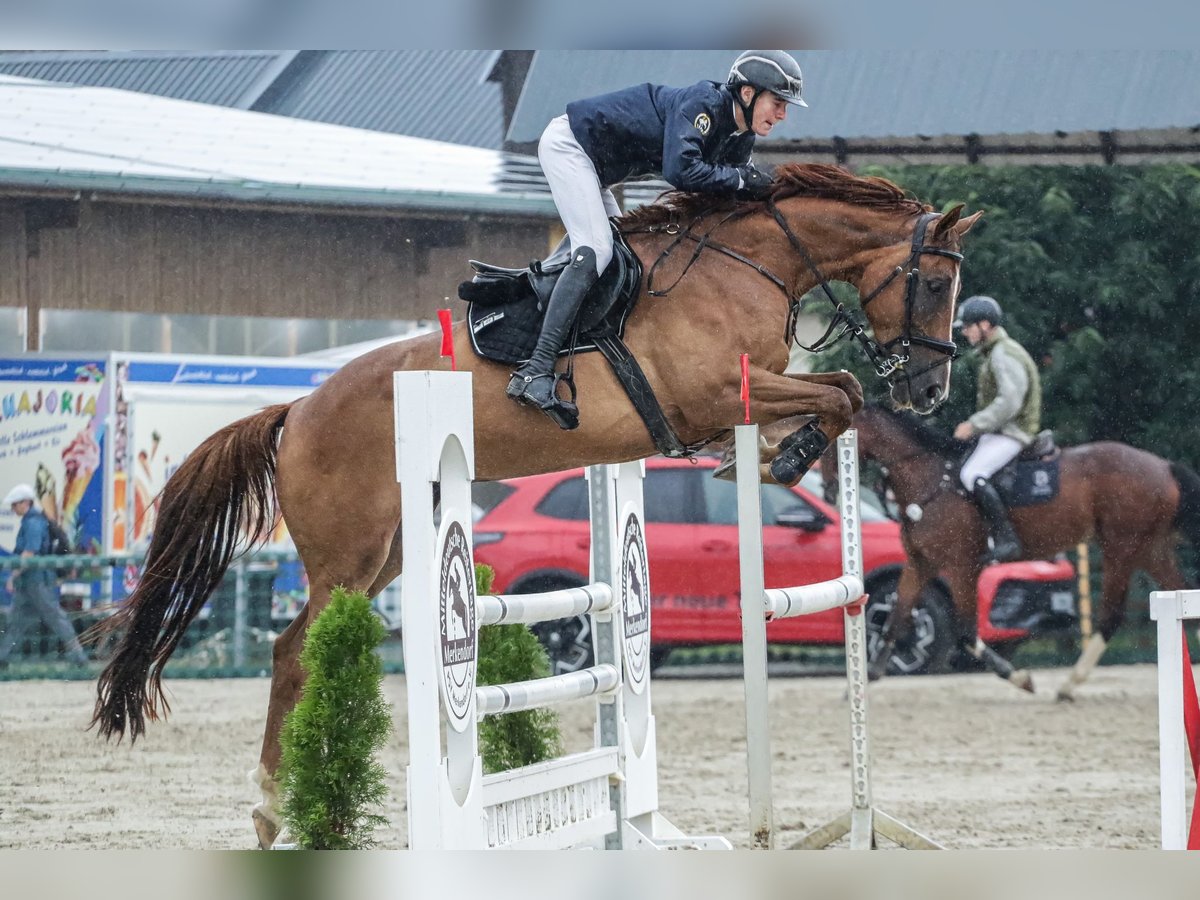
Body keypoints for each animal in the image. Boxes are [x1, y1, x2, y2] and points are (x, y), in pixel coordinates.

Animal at [88, 164, 979, 854]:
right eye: (936, 283)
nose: (931, 390)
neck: (745, 263)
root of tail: (297, 409)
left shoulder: (746, 390)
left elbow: (845, 391)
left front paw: (772, 455)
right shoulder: (720, 394)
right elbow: (838, 392)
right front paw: (775, 456)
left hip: (393, 551)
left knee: (300, 649)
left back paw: (292, 812)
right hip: (350, 553)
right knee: (295, 653)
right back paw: (283, 812)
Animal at [844, 405, 1200, 700]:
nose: (835, 482)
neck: (930, 482)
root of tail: (1163, 466)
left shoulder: (961, 567)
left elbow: (966, 633)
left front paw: (1020, 678)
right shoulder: (920, 564)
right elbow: (896, 619)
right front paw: (865, 683)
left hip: (1121, 548)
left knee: (1112, 617)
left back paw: (1070, 684)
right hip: (1149, 548)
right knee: (1178, 593)